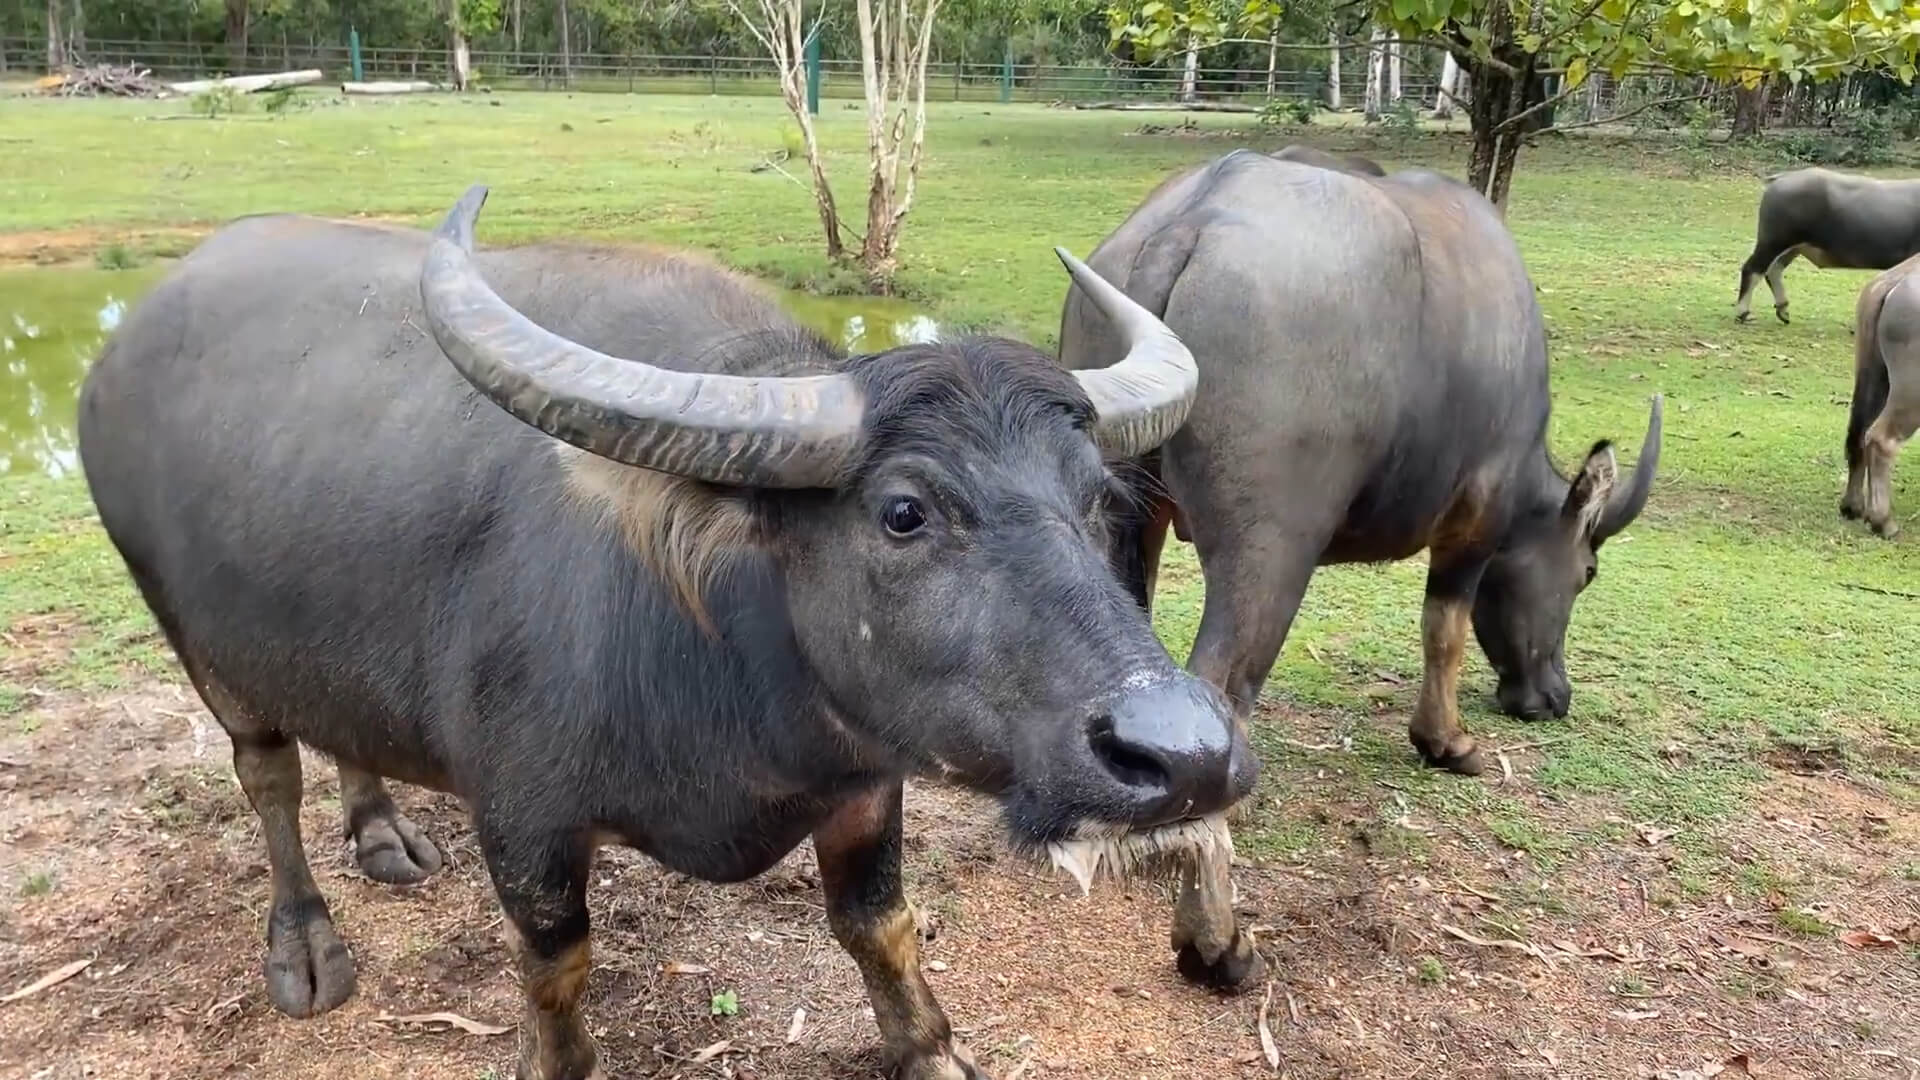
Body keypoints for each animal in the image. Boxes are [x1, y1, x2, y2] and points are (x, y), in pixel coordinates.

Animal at [78, 184, 1259, 1076]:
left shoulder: (866, 784)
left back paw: (381, 834)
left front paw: (930, 1050)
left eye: (1096, 498)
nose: (1188, 754)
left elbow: (879, 927)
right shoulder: (525, 823)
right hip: (193, 639)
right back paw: (306, 944)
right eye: (904, 511)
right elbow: (555, 973)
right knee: (266, 773)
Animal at [1059, 147, 1658, 991]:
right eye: (1587, 572)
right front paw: (1448, 743)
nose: (1552, 697)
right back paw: (1216, 942)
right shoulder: (1475, 520)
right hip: (1271, 551)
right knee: (1221, 690)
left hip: (1114, 514)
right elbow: (1445, 629)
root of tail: (1190, 221)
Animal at [1735, 166, 1920, 320]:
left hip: (1792, 247)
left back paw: (1783, 310)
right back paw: (1745, 313)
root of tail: (1782, 178)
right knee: (1753, 269)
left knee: (1773, 269)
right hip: (1774, 240)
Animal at [1835, 249, 1912, 534]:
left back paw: (1853, 506)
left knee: (1858, 434)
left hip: (1873, 374)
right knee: (1881, 441)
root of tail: (1894, 281)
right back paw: (1883, 521)